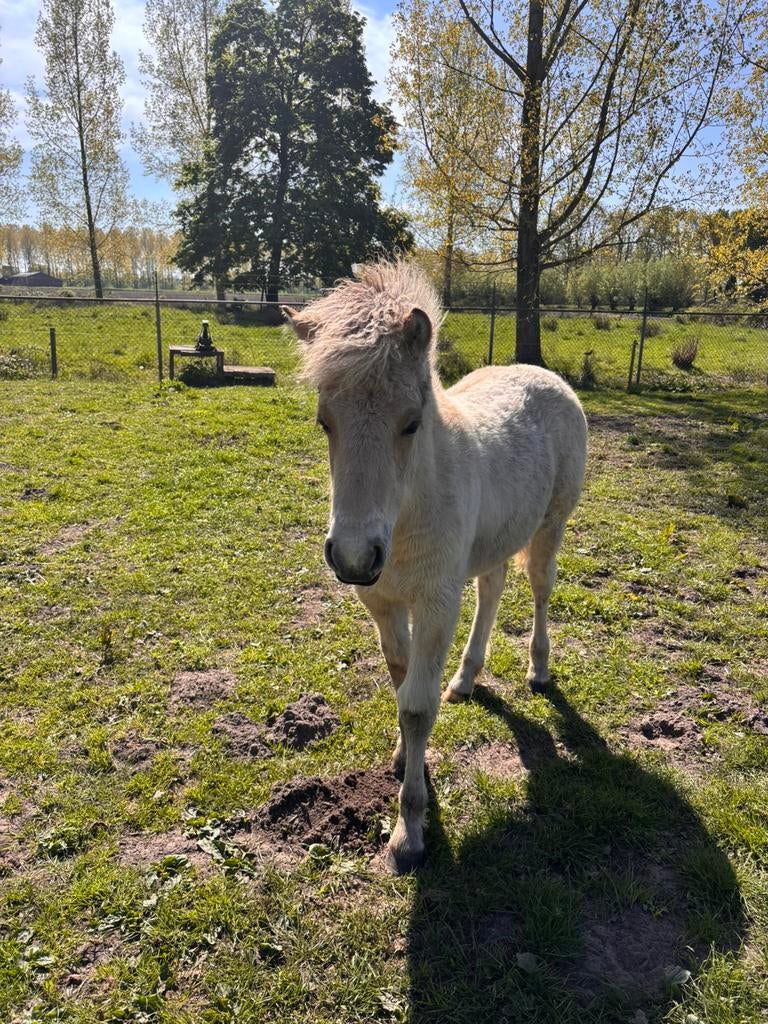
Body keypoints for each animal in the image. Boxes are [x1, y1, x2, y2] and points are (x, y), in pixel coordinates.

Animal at [283, 261, 587, 874]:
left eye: (410, 423)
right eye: (324, 421)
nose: (354, 556)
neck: (406, 514)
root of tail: (546, 376)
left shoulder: (435, 602)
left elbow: (418, 707)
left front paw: (409, 833)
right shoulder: (381, 601)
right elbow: (400, 682)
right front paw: (405, 759)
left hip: (550, 527)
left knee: (540, 588)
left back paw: (538, 669)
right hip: (495, 539)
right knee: (493, 587)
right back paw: (466, 679)